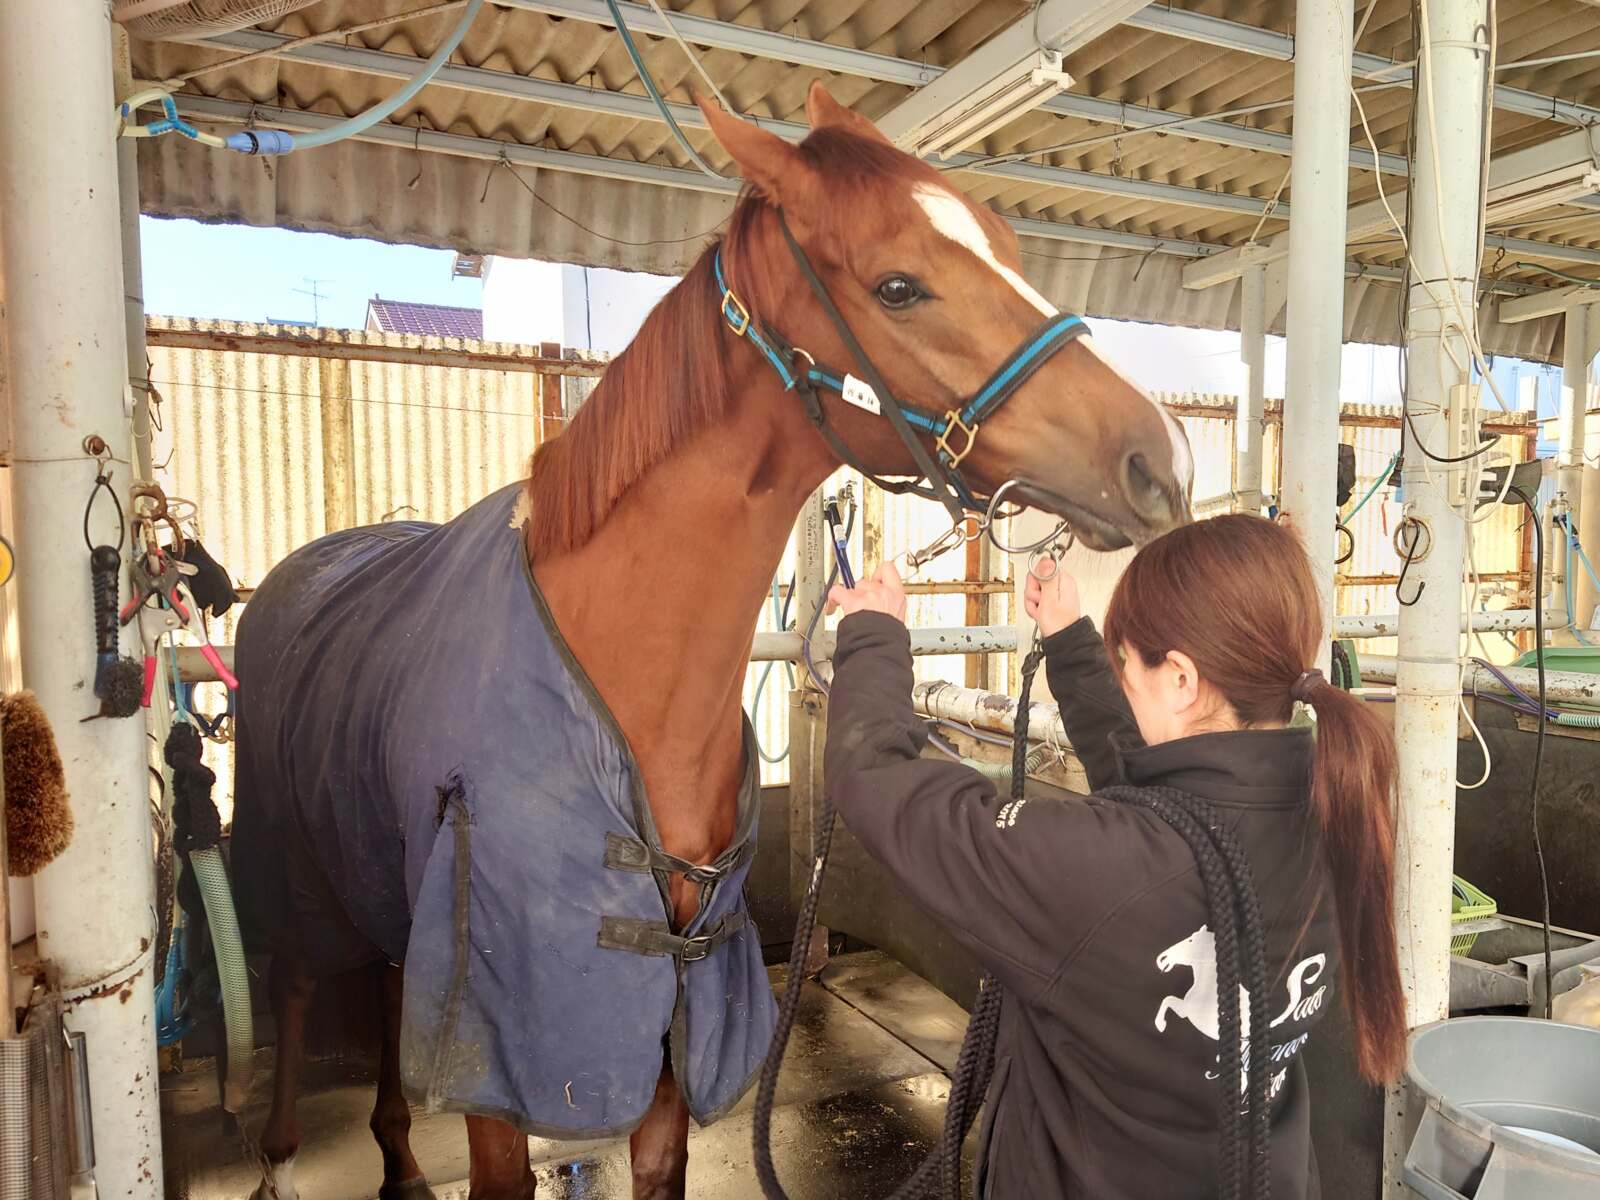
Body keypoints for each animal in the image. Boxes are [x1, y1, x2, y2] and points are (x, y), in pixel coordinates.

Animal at [236, 86, 1190, 1200]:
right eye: (898, 285)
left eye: (1005, 246)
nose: (1159, 460)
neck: (627, 685)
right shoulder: (509, 1053)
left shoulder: (672, 1036)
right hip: (297, 862)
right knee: (301, 981)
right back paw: (280, 1152)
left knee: (391, 989)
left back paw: (394, 1151)